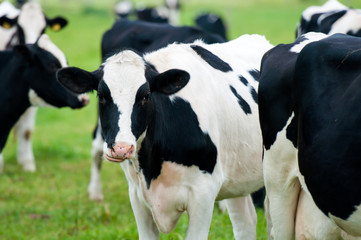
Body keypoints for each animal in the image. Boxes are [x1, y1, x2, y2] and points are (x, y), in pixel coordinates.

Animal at [57, 34, 272, 240]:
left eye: (145, 96)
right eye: (101, 96)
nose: (121, 148)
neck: (153, 167)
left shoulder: (204, 193)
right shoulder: (136, 195)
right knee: (246, 224)